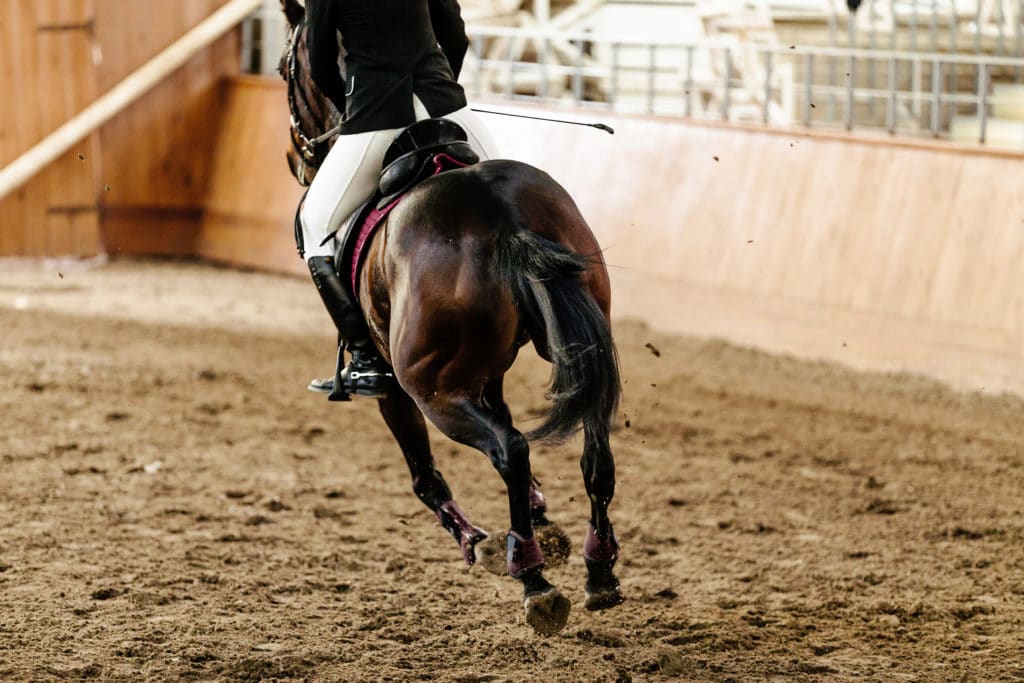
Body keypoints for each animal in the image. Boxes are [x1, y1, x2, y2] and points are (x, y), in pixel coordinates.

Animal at [278, 0, 622, 634]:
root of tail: (503, 217)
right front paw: (540, 516)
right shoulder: (486, 374)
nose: (297, 158)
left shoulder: (395, 387)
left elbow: (422, 474)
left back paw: (531, 576)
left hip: (432, 388)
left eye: (286, 69)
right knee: (593, 449)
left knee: (510, 449)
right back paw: (598, 569)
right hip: (558, 349)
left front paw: (474, 538)